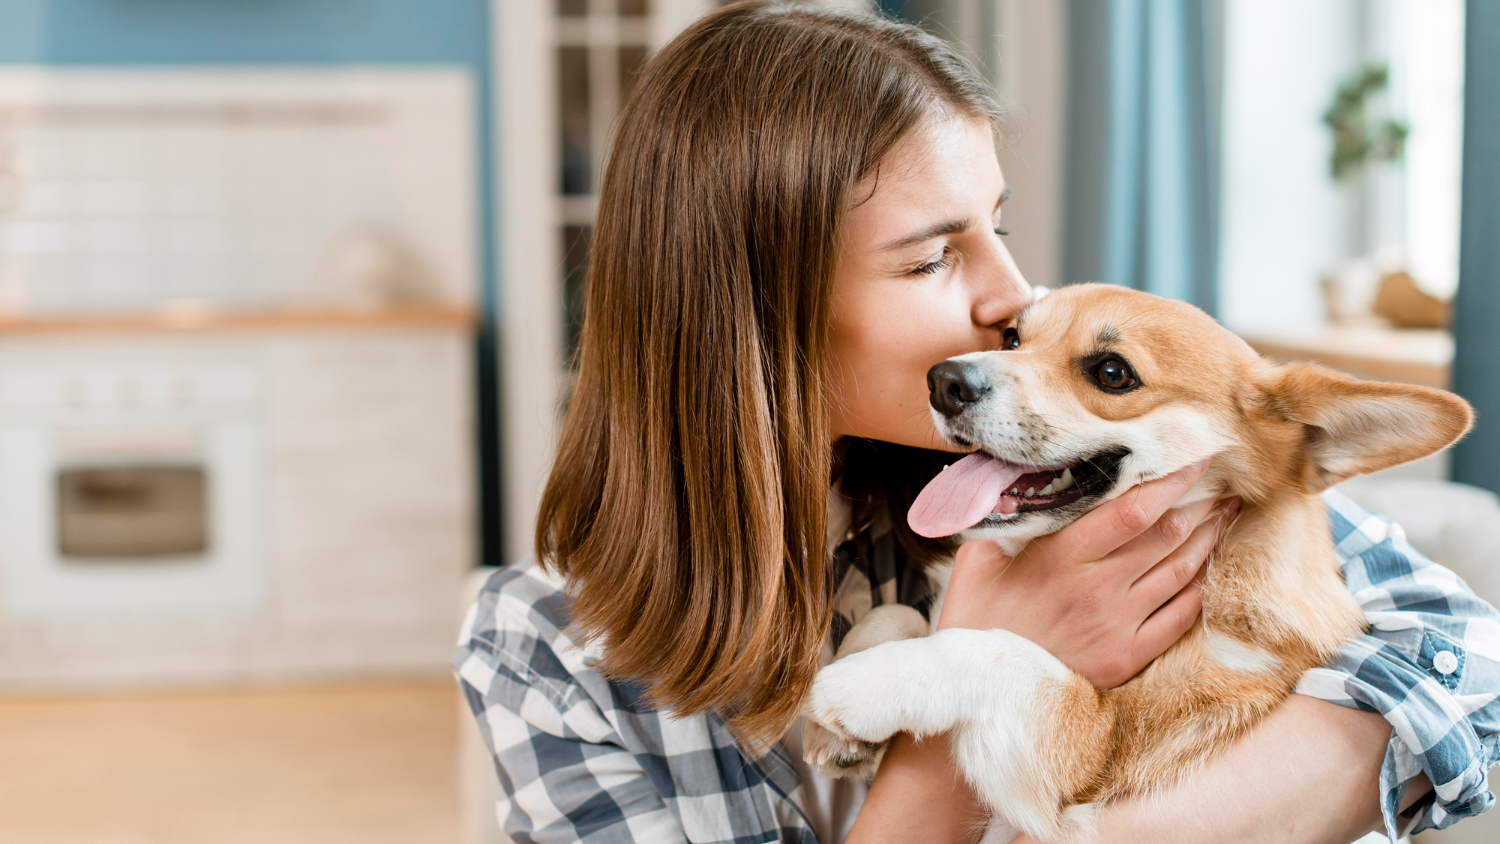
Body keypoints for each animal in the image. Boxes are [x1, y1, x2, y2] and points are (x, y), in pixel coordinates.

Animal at [804, 286, 1470, 844]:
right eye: (1013, 338)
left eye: (1112, 373)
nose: (943, 380)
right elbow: (896, 613)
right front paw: (838, 725)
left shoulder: (1092, 752)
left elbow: (998, 651)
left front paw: (860, 686)